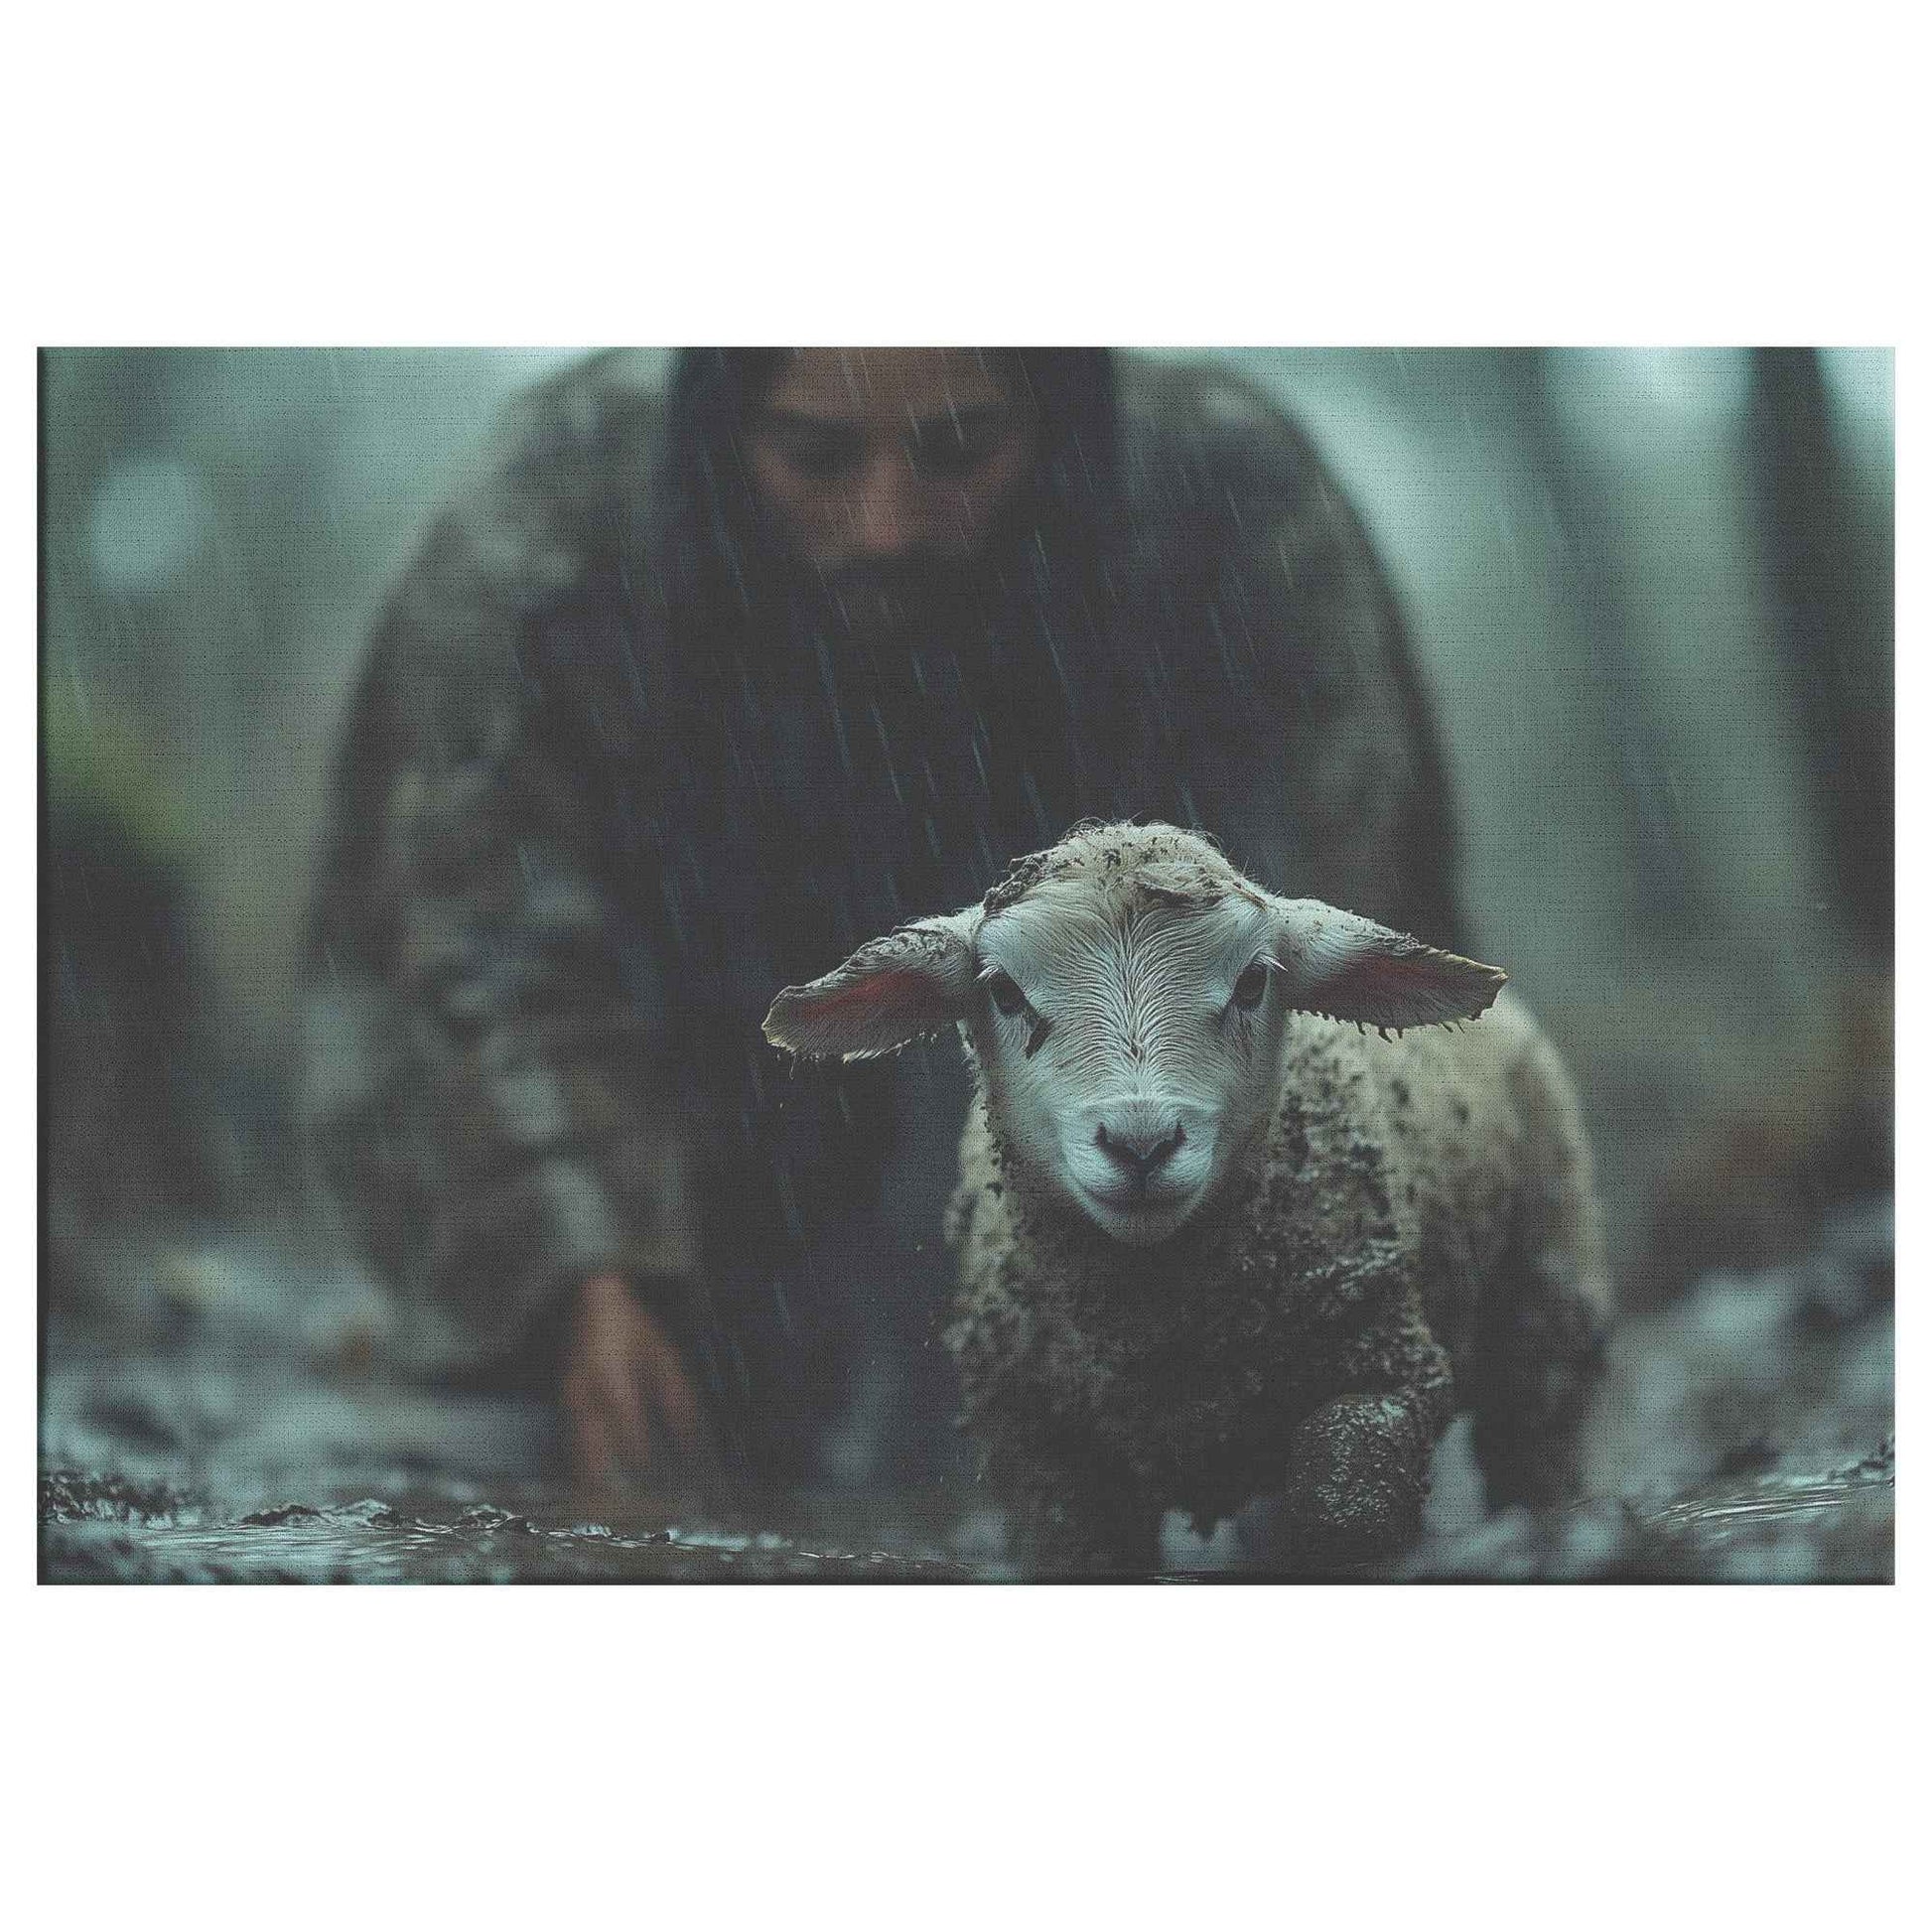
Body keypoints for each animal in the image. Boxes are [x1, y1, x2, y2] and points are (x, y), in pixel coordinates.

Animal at [762, 821, 1608, 1574]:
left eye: (1254, 982)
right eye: (1003, 991)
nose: (1141, 1145)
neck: (1159, 1328)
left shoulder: (1383, 1381)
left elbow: (1342, 1516)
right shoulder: (1039, 1450)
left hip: (1544, 1291)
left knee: (1539, 1431)